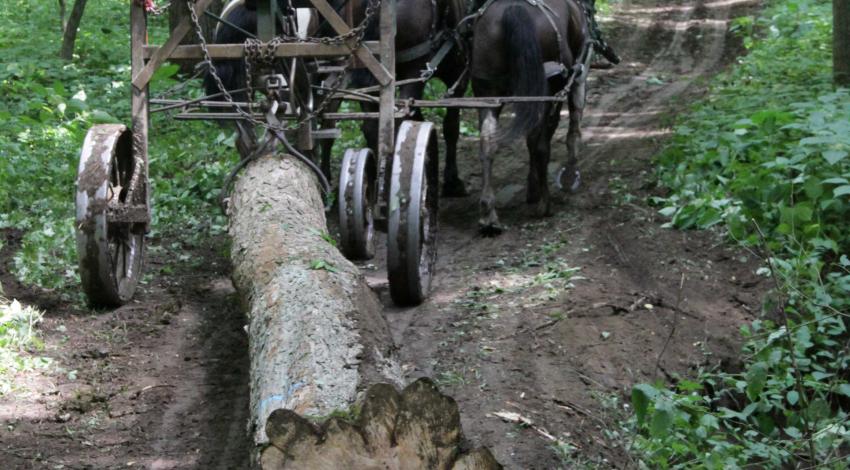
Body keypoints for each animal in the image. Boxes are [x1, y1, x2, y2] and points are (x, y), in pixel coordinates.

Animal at [464, 0, 588, 233]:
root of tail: (514, 9)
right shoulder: (576, 73)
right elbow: (572, 123)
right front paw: (568, 173)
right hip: (546, 89)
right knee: (540, 145)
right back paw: (545, 204)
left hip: (487, 92)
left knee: (487, 143)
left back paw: (488, 214)